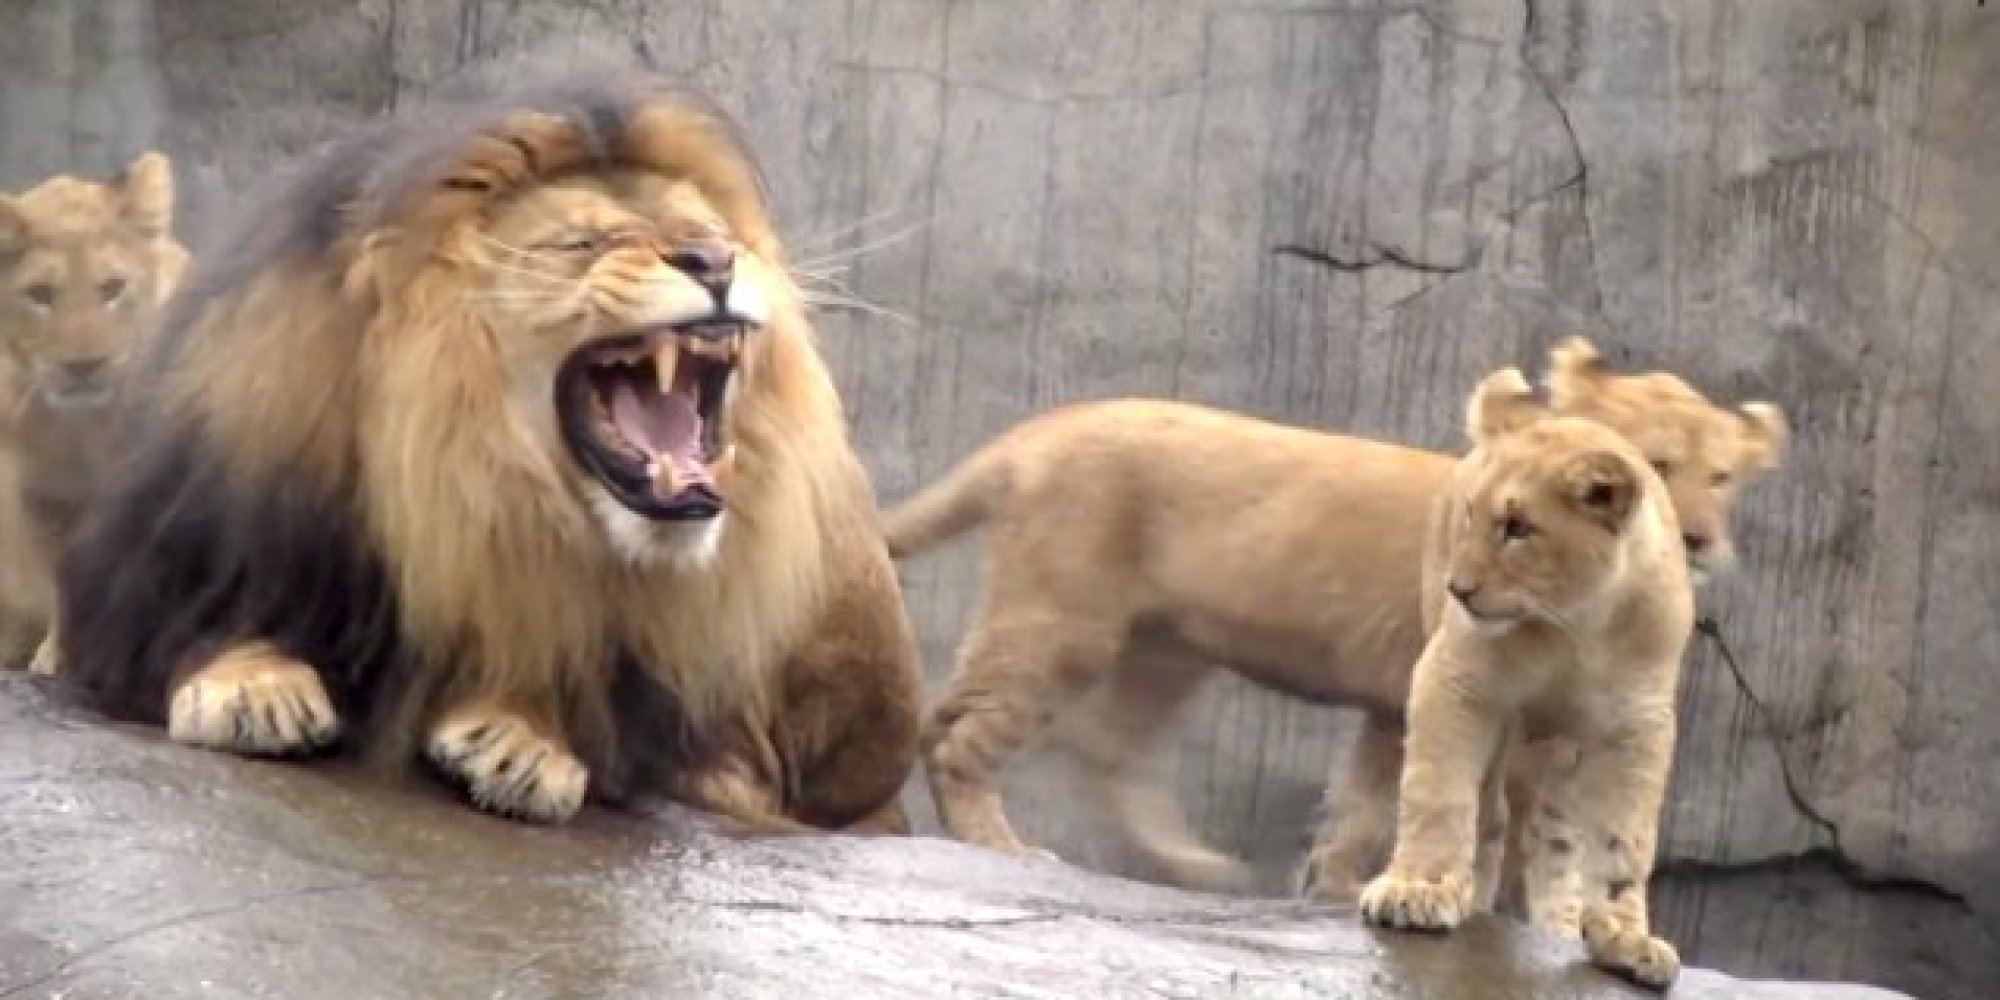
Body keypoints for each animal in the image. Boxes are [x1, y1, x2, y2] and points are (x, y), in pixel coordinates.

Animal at [0, 152, 189, 673]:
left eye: (112, 289)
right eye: (41, 294)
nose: (84, 366)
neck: (84, 432)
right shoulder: (43, 497)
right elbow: (63, 580)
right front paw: (56, 657)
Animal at [52, 78, 923, 834]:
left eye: (712, 234)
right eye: (583, 242)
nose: (714, 261)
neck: (471, 480)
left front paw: (522, 740)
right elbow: (207, 620)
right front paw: (253, 685)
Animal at [884, 337, 1785, 901]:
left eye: (1722, 476)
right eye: (1657, 465)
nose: (1698, 538)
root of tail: (1038, 430)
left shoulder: (1393, 705)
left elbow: (1367, 799)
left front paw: (1337, 885)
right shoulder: (1465, 693)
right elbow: (1483, 818)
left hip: (1170, 646)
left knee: (1112, 749)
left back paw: (1200, 866)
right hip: (1065, 618)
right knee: (958, 728)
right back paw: (998, 841)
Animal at [1357, 367, 1692, 990]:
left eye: (1518, 527)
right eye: (1471, 515)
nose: (1459, 589)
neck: (1574, 625)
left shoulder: (1639, 725)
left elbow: (1625, 839)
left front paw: (1626, 937)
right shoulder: (1456, 680)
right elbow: (1439, 792)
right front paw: (1418, 890)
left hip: (1564, 752)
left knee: (1553, 837)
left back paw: (1559, 925)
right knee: (1490, 817)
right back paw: (1469, 896)